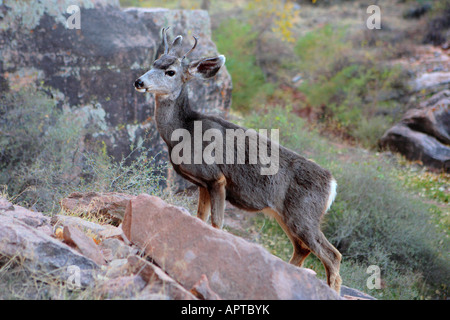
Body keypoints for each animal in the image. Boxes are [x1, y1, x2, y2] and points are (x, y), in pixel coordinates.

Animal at [135, 27, 342, 292]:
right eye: (154, 62)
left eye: (170, 71)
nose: (139, 82)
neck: (184, 132)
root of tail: (332, 184)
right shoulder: (202, 183)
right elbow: (200, 219)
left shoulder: (216, 177)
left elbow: (217, 224)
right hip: (286, 215)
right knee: (303, 249)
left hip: (305, 214)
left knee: (332, 255)